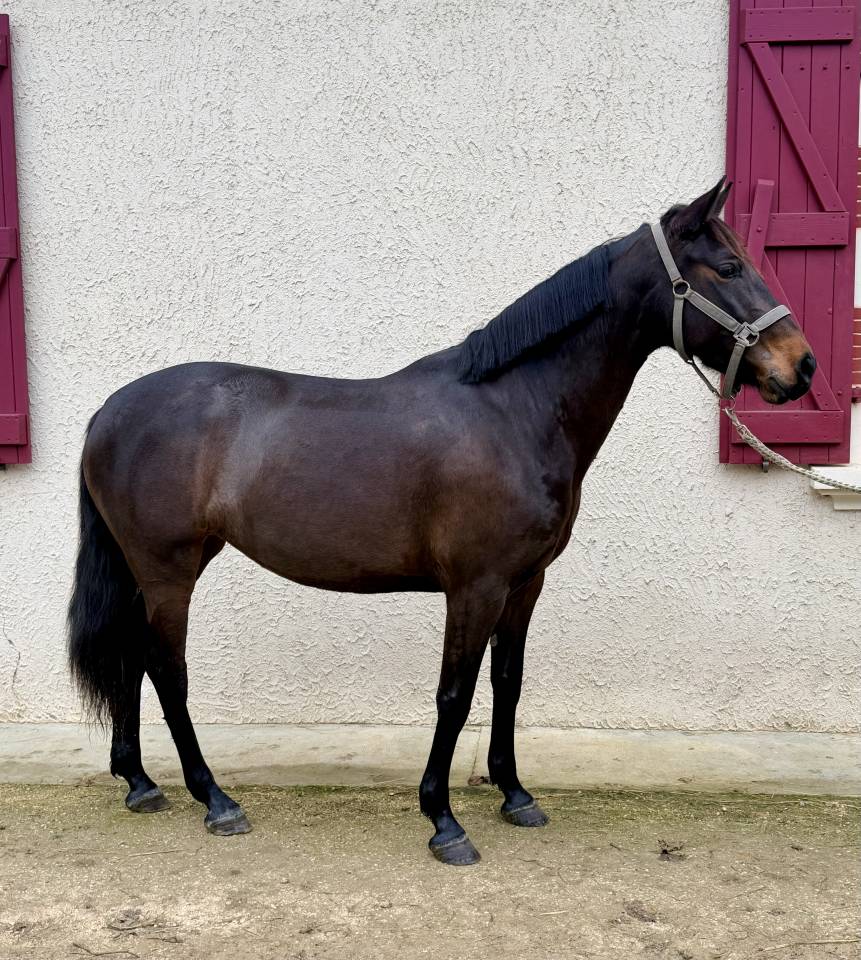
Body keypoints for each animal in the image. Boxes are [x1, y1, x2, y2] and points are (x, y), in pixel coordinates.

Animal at [68, 180, 815, 866]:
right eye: (727, 267)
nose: (801, 366)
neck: (517, 409)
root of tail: (107, 410)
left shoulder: (524, 584)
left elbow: (507, 685)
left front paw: (516, 795)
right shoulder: (474, 585)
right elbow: (453, 695)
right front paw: (443, 821)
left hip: (154, 568)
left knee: (131, 656)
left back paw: (140, 783)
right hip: (169, 569)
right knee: (166, 669)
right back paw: (215, 799)